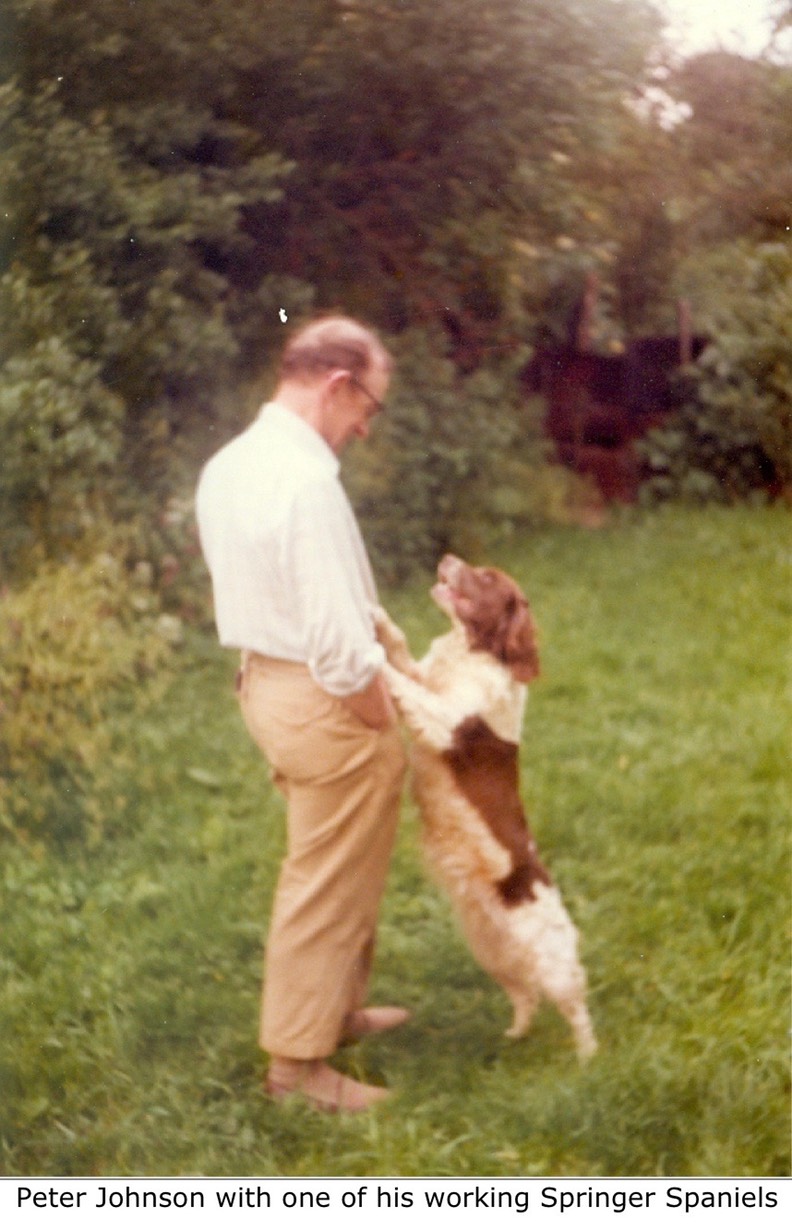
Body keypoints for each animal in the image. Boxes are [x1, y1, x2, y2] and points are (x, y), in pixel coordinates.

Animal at [373, 555, 597, 1057]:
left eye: (488, 577)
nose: (447, 559)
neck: (476, 650)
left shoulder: (446, 721)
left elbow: (404, 685)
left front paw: (369, 654)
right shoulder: (428, 681)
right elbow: (404, 659)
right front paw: (378, 622)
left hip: (553, 961)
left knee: (575, 1006)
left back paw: (589, 1056)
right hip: (490, 951)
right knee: (525, 995)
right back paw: (516, 1033)